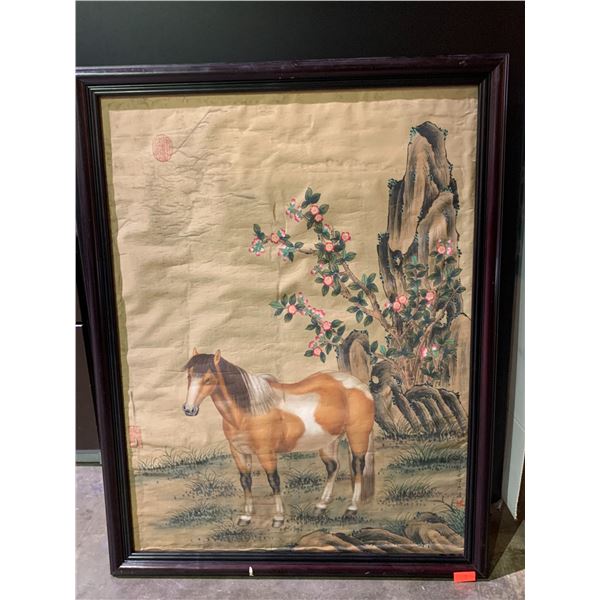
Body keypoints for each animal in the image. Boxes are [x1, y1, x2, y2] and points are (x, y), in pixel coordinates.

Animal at [182, 349, 375, 528]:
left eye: (208, 379)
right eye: (189, 376)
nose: (189, 409)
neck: (250, 410)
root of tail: (360, 385)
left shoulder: (266, 453)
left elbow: (274, 481)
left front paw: (278, 518)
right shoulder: (238, 452)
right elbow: (245, 481)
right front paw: (246, 517)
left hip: (357, 435)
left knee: (357, 465)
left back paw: (352, 508)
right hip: (329, 440)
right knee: (333, 467)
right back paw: (321, 506)